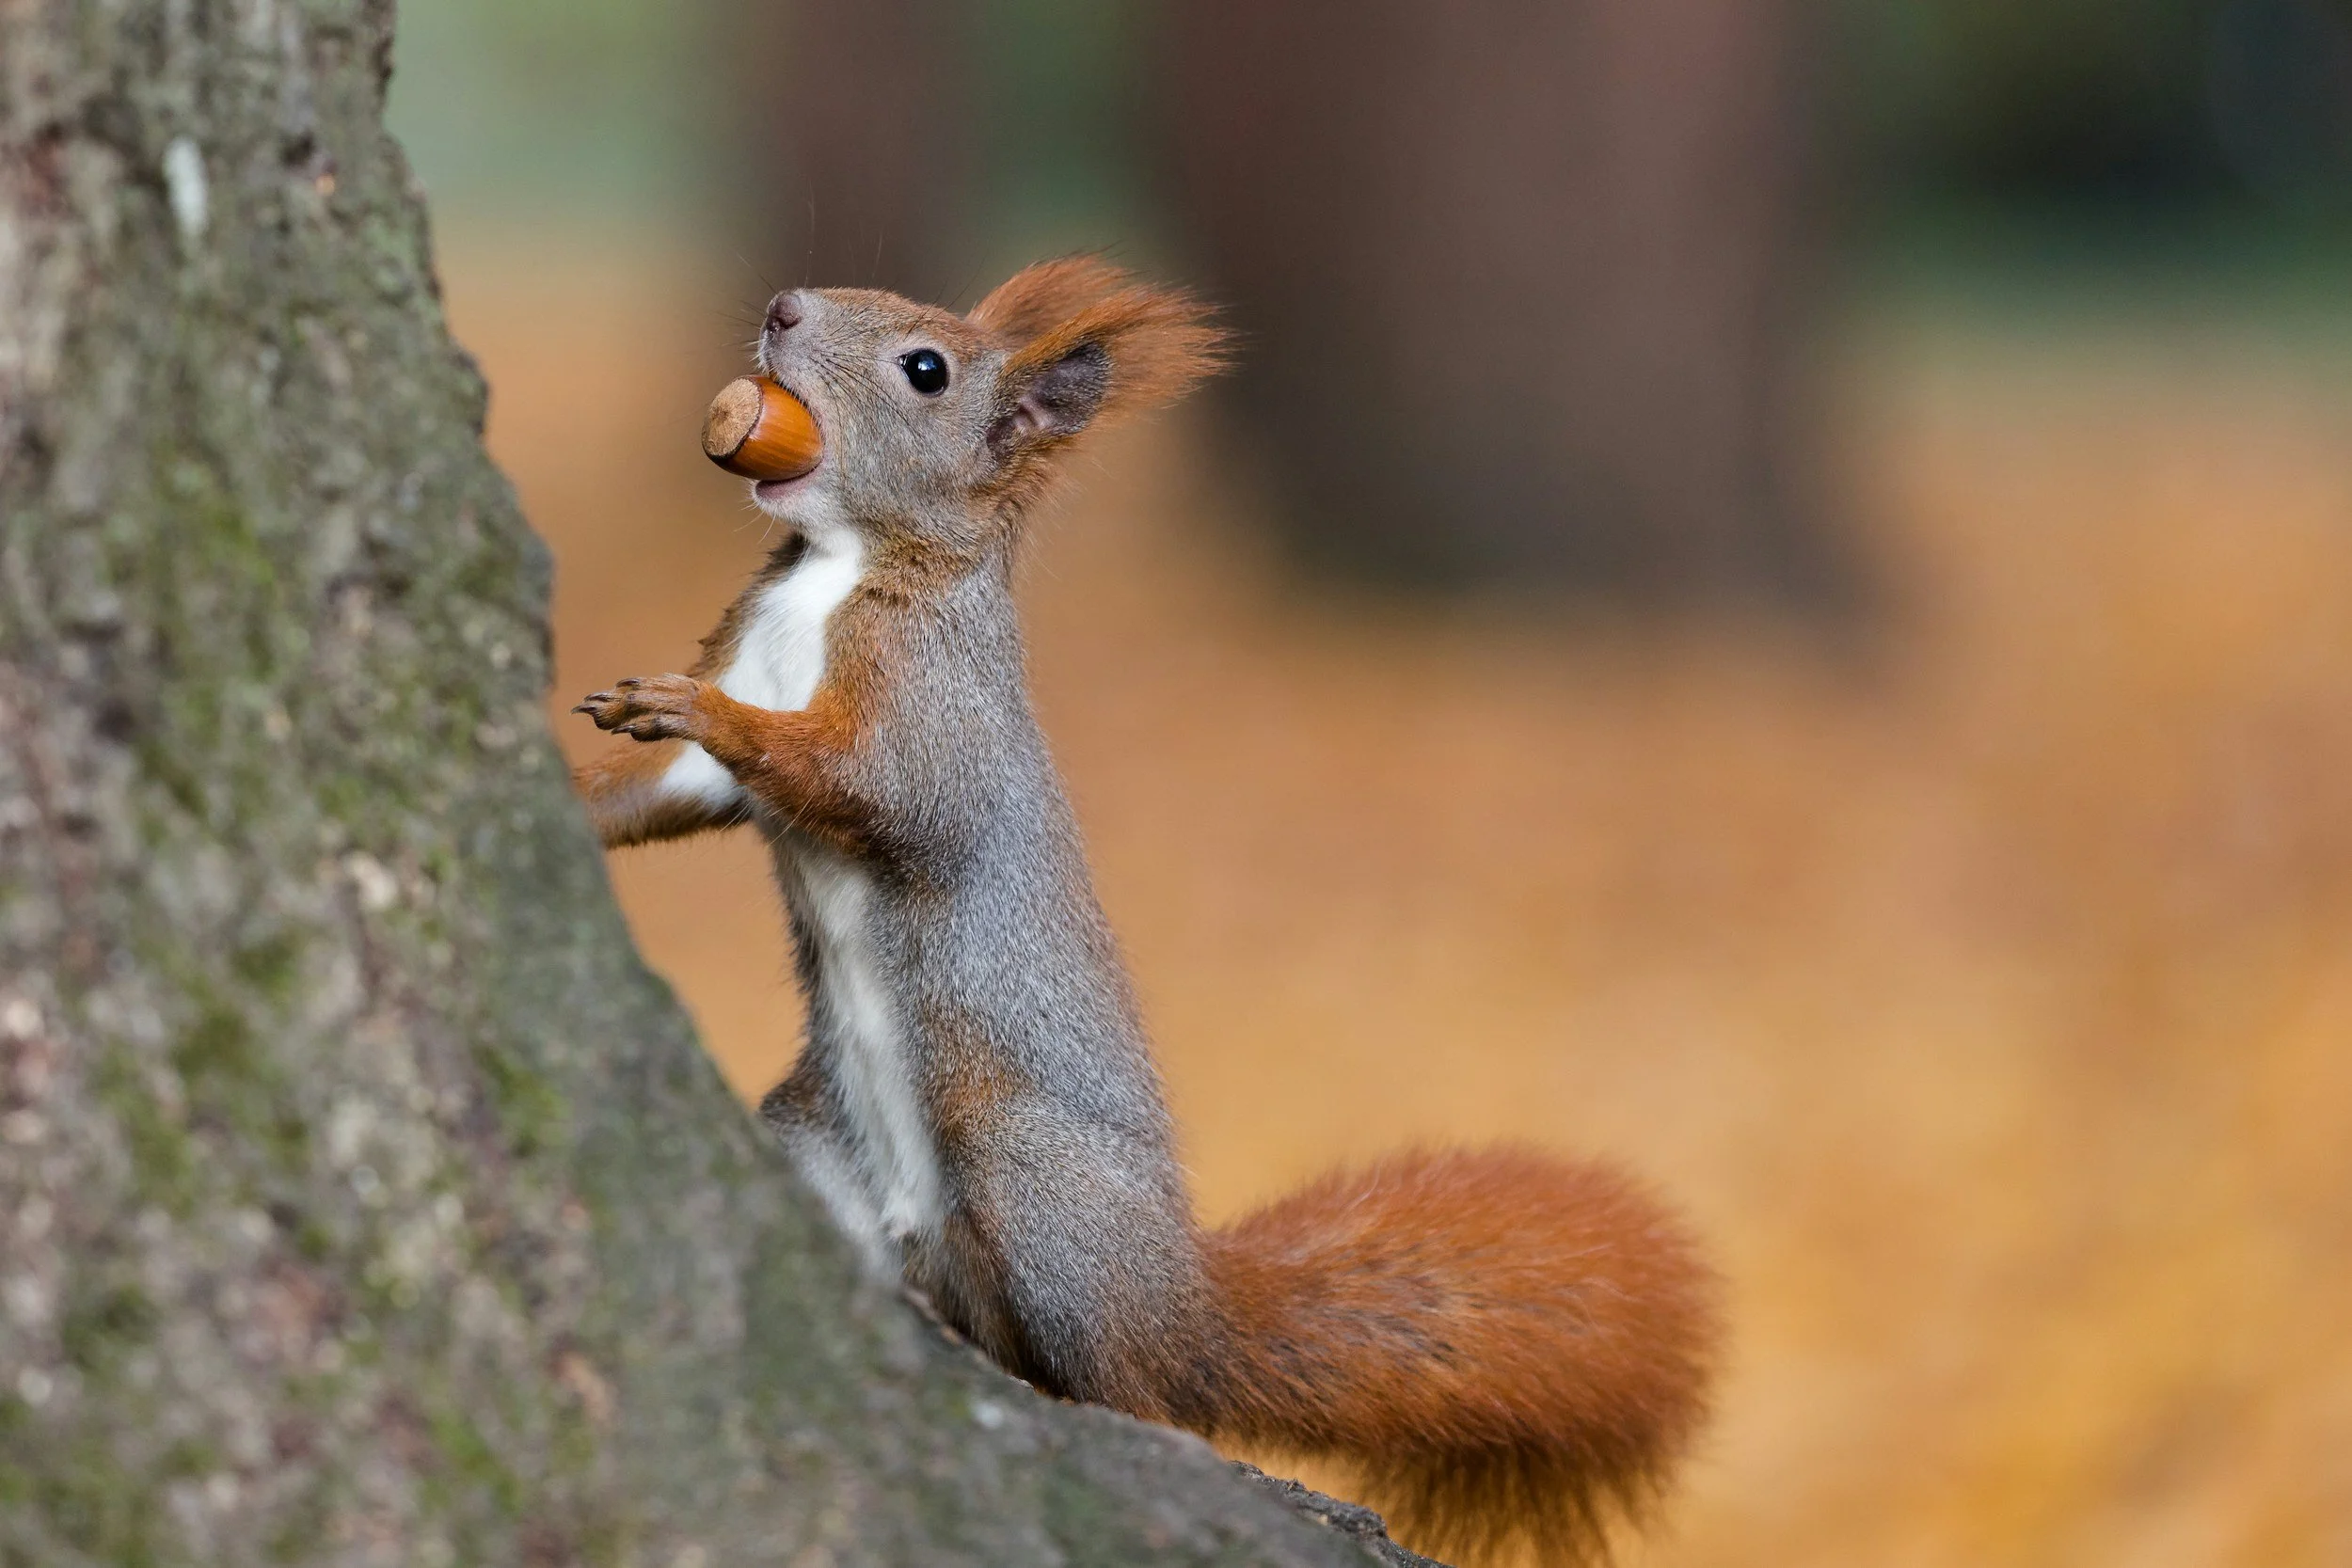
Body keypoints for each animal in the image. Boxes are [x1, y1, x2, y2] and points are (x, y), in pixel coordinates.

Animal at [571, 258, 1719, 1565]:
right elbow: (669, 794)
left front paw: (693, 707)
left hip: (1030, 1174)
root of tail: (1181, 1309)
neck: (830, 570)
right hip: (813, 1145)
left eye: (927, 370)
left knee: (1135, 1388)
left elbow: (868, 788)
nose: (783, 308)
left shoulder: (934, 711)